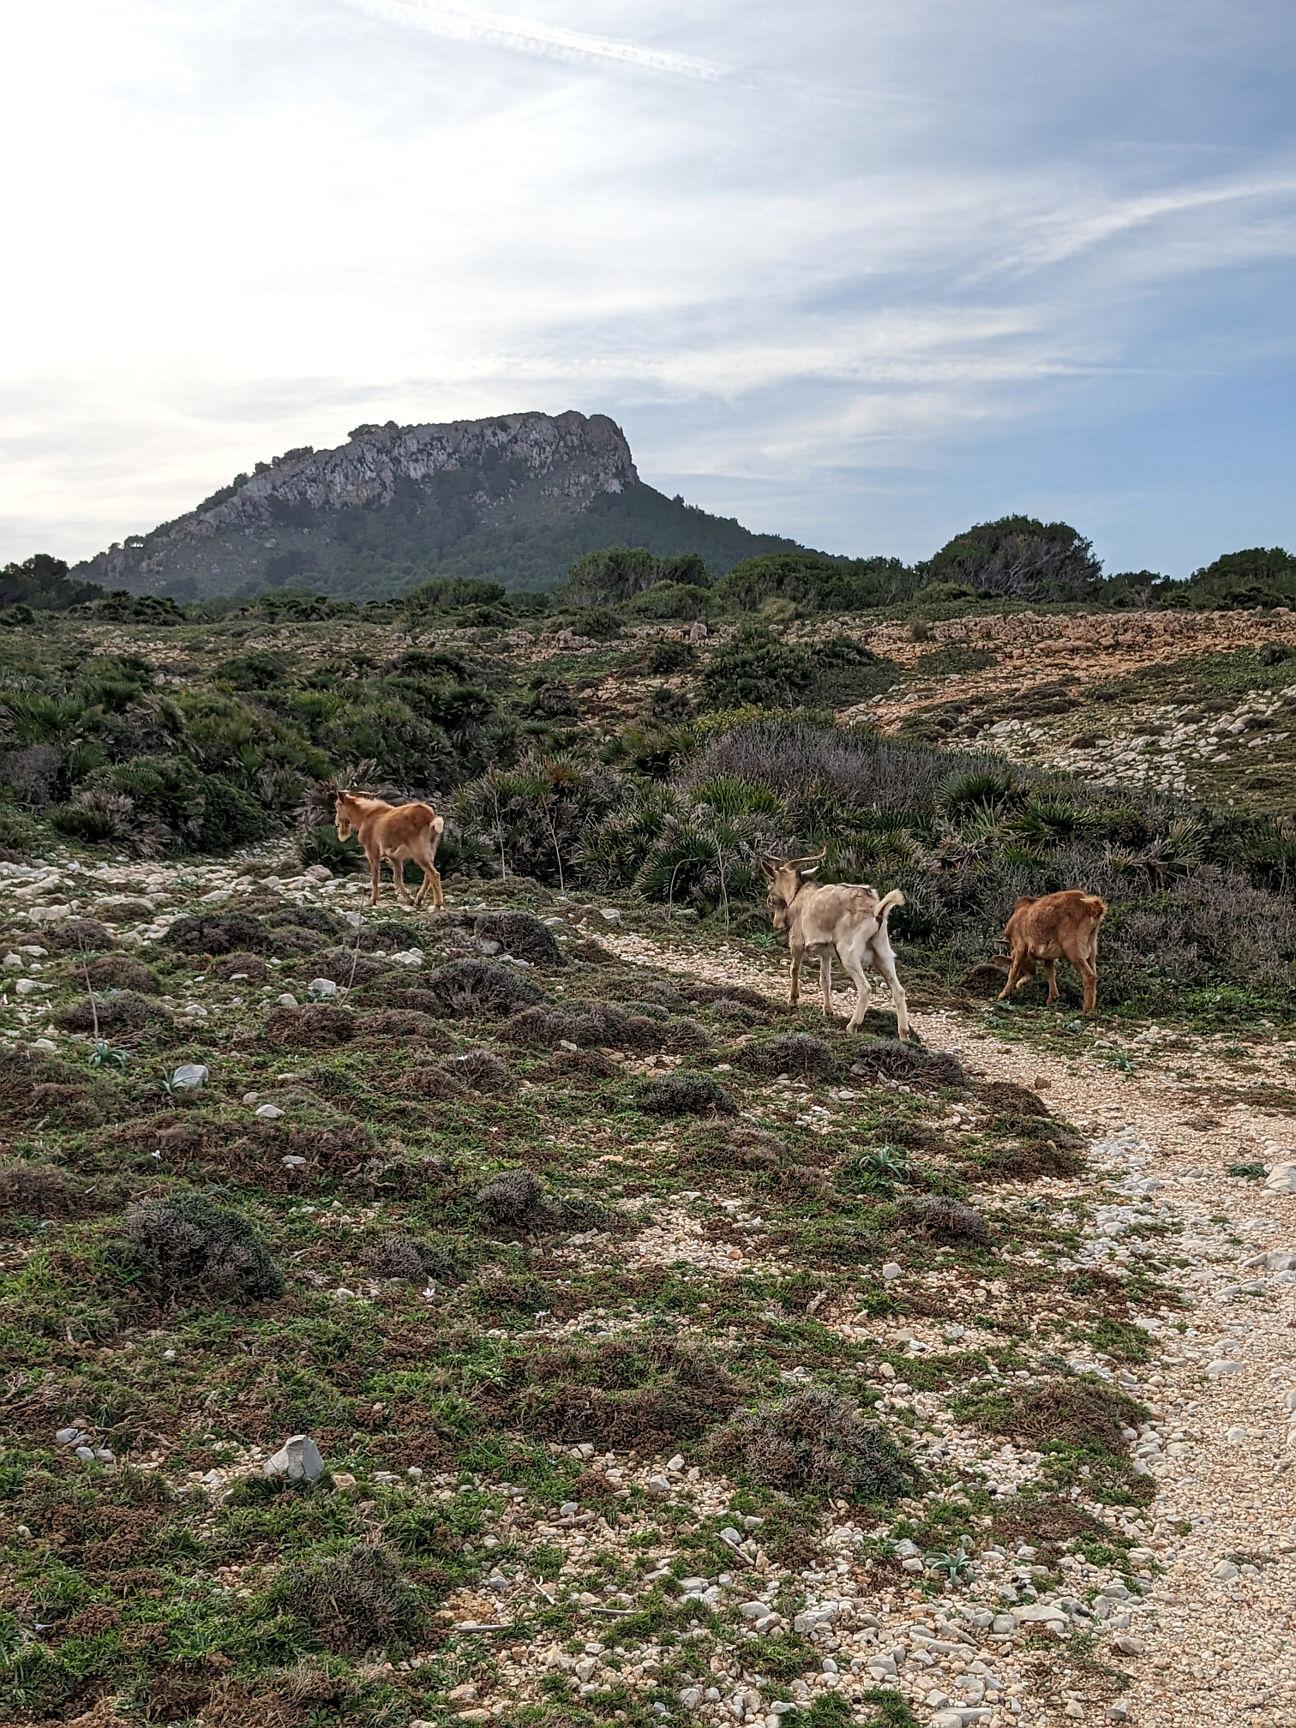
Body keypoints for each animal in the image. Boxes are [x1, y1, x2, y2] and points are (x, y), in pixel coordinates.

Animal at [760, 850, 912, 1036]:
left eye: (771, 880)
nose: (769, 900)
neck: (798, 894)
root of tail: (877, 910)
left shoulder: (796, 940)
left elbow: (794, 969)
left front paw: (793, 1000)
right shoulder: (826, 953)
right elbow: (825, 979)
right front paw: (828, 1011)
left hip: (848, 952)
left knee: (865, 988)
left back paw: (852, 1026)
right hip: (882, 950)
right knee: (898, 990)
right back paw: (904, 1034)